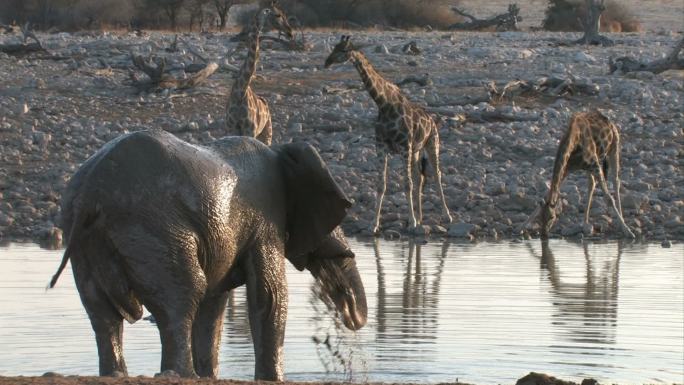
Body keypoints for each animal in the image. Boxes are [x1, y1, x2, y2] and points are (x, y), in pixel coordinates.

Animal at [49, 128, 368, 378]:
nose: (351, 320)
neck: (280, 152)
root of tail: (91, 190)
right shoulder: (267, 220)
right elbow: (269, 295)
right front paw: (272, 379)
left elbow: (214, 305)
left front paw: (210, 377)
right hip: (152, 227)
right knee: (183, 295)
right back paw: (180, 375)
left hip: (84, 237)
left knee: (101, 311)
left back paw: (116, 375)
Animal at [223, 1, 290, 146]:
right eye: (278, 14)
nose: (290, 32)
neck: (240, 92)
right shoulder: (231, 128)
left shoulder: (250, 131)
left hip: (267, 133)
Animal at [324, 35, 452, 234]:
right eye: (334, 47)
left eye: (343, 50)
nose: (327, 62)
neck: (384, 104)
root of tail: (432, 120)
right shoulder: (381, 146)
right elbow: (381, 185)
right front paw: (374, 224)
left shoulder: (404, 146)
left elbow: (407, 184)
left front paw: (411, 222)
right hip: (416, 151)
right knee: (420, 177)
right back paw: (421, 217)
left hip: (432, 144)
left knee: (437, 174)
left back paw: (446, 216)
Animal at [524, 109, 636, 238]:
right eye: (540, 217)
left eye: (552, 217)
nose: (543, 234)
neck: (574, 141)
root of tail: (608, 121)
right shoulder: (567, 168)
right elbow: (547, 194)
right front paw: (522, 226)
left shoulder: (595, 165)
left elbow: (609, 199)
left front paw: (627, 230)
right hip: (590, 167)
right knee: (592, 183)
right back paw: (585, 222)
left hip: (613, 148)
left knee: (616, 180)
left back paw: (621, 221)